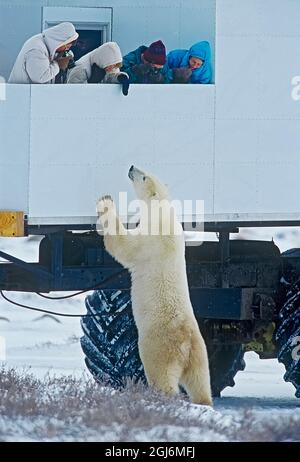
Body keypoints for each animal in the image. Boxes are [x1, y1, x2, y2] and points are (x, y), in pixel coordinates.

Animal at [97, 166, 212, 404]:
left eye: (144, 176)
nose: (131, 167)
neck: (162, 213)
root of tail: (185, 344)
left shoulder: (149, 239)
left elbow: (122, 245)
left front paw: (106, 202)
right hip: (199, 353)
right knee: (201, 382)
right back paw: (204, 402)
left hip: (159, 349)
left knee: (162, 377)